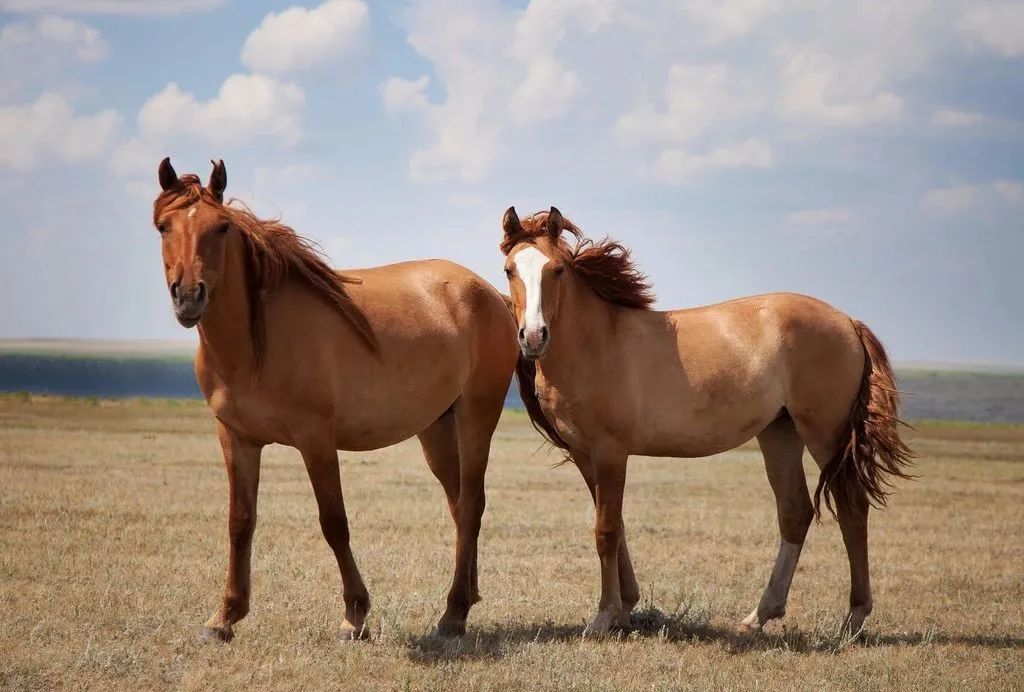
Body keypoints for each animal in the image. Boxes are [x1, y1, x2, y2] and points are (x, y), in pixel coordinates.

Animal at [149, 159, 520, 638]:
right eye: (163, 226)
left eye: (221, 227)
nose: (189, 296)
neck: (257, 342)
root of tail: (488, 292)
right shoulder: (236, 438)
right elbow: (240, 522)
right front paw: (225, 616)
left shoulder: (316, 440)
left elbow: (334, 522)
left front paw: (355, 614)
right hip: (437, 428)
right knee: (458, 505)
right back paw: (467, 597)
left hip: (477, 416)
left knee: (472, 503)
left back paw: (453, 613)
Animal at [501, 205, 913, 638]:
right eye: (510, 270)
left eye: (558, 269)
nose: (533, 336)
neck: (596, 344)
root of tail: (848, 321)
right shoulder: (585, 455)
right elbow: (616, 527)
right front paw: (626, 608)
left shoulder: (611, 453)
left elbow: (606, 530)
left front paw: (604, 617)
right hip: (780, 434)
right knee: (795, 512)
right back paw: (760, 615)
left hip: (825, 435)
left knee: (851, 509)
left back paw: (853, 618)